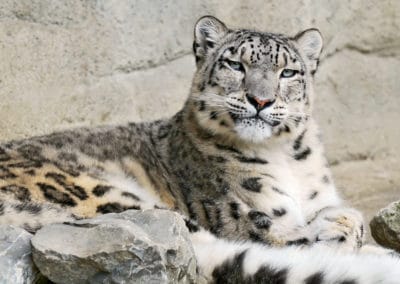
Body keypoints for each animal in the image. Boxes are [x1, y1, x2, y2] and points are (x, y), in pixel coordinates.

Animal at [0, 16, 400, 284]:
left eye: (288, 72)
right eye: (235, 64)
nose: (261, 100)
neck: (286, 156)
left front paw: (344, 224)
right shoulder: (246, 215)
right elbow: (297, 234)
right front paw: (341, 229)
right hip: (112, 198)